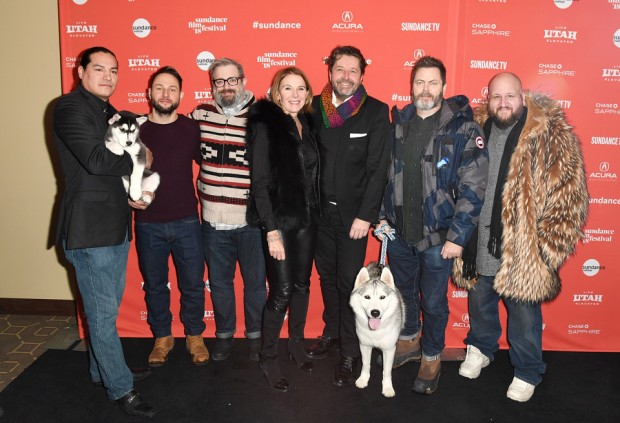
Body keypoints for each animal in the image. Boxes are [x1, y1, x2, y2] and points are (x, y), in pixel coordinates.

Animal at [352, 264, 404, 400]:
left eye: (382, 297)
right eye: (367, 297)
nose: (375, 312)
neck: (375, 331)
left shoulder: (389, 349)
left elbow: (387, 371)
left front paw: (387, 387)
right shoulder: (364, 345)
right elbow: (365, 364)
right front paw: (363, 379)